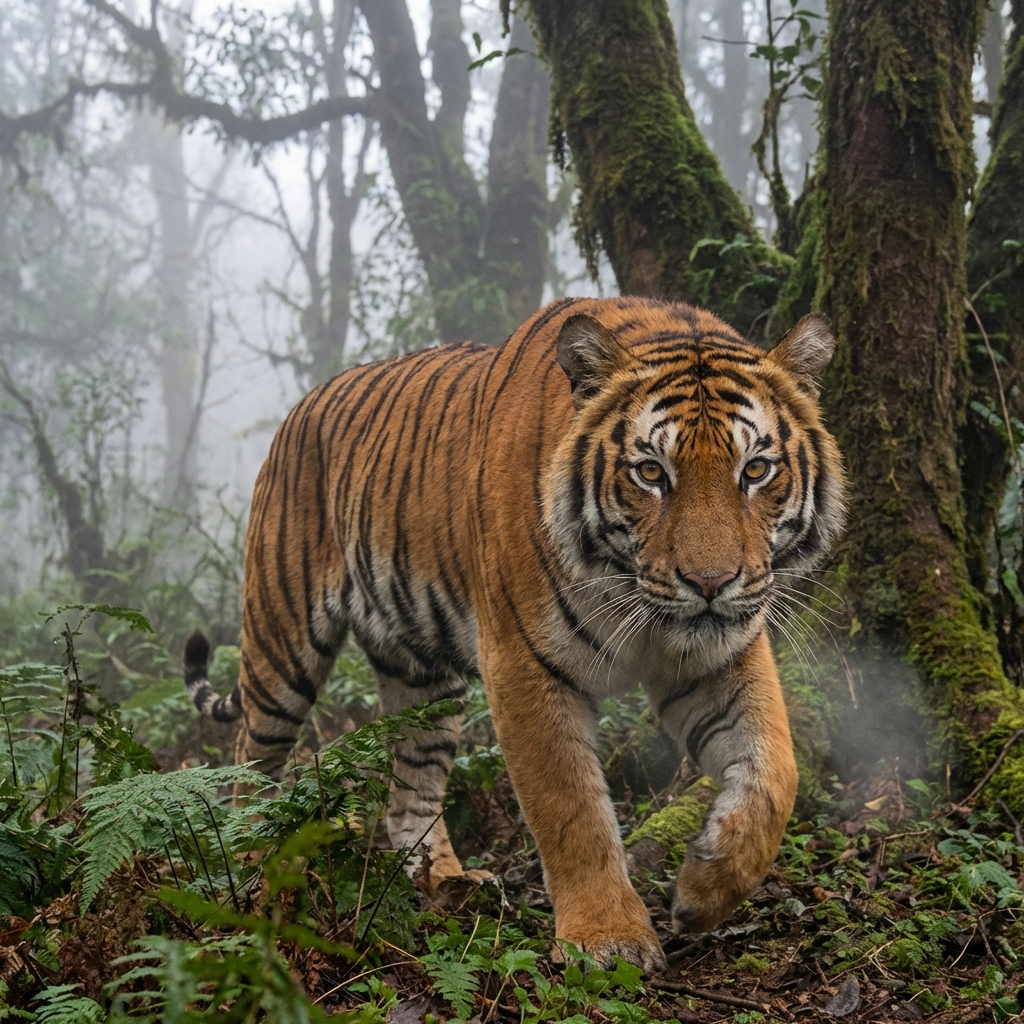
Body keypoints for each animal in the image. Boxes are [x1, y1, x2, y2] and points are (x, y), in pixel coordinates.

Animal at [183, 296, 846, 972]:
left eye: (756, 469)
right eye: (650, 473)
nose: (710, 583)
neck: (635, 596)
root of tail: (302, 404)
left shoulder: (721, 659)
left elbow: (776, 773)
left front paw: (703, 890)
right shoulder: (524, 663)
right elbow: (570, 807)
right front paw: (608, 938)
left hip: (423, 682)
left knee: (411, 789)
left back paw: (443, 880)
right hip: (280, 641)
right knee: (249, 762)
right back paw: (249, 869)